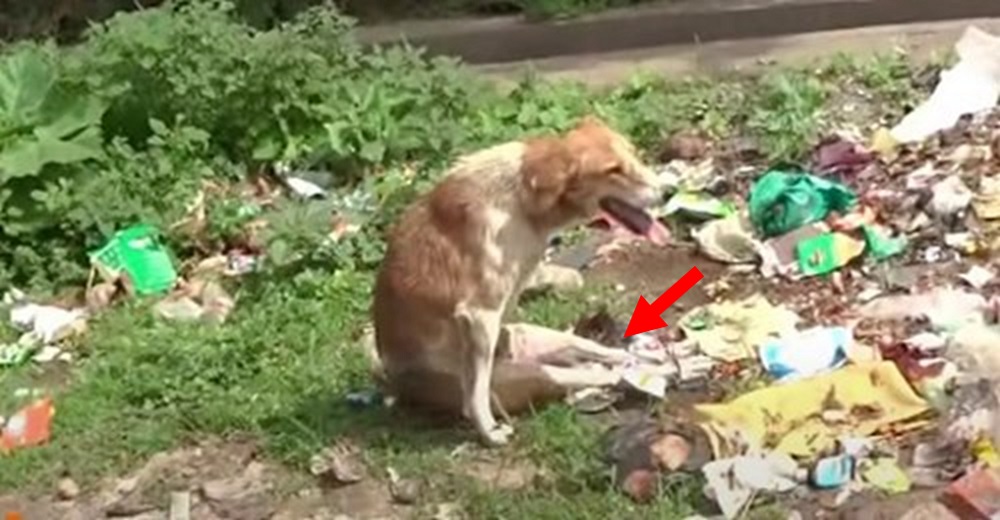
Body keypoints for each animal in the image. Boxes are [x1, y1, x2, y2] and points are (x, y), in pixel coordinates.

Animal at [372, 116, 668, 444]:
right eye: (613, 170)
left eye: (634, 155)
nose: (669, 192)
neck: (523, 200)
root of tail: (397, 387)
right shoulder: (479, 316)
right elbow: (475, 394)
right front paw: (488, 432)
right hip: (541, 372)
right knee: (601, 374)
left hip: (548, 338)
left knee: (602, 354)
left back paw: (646, 360)